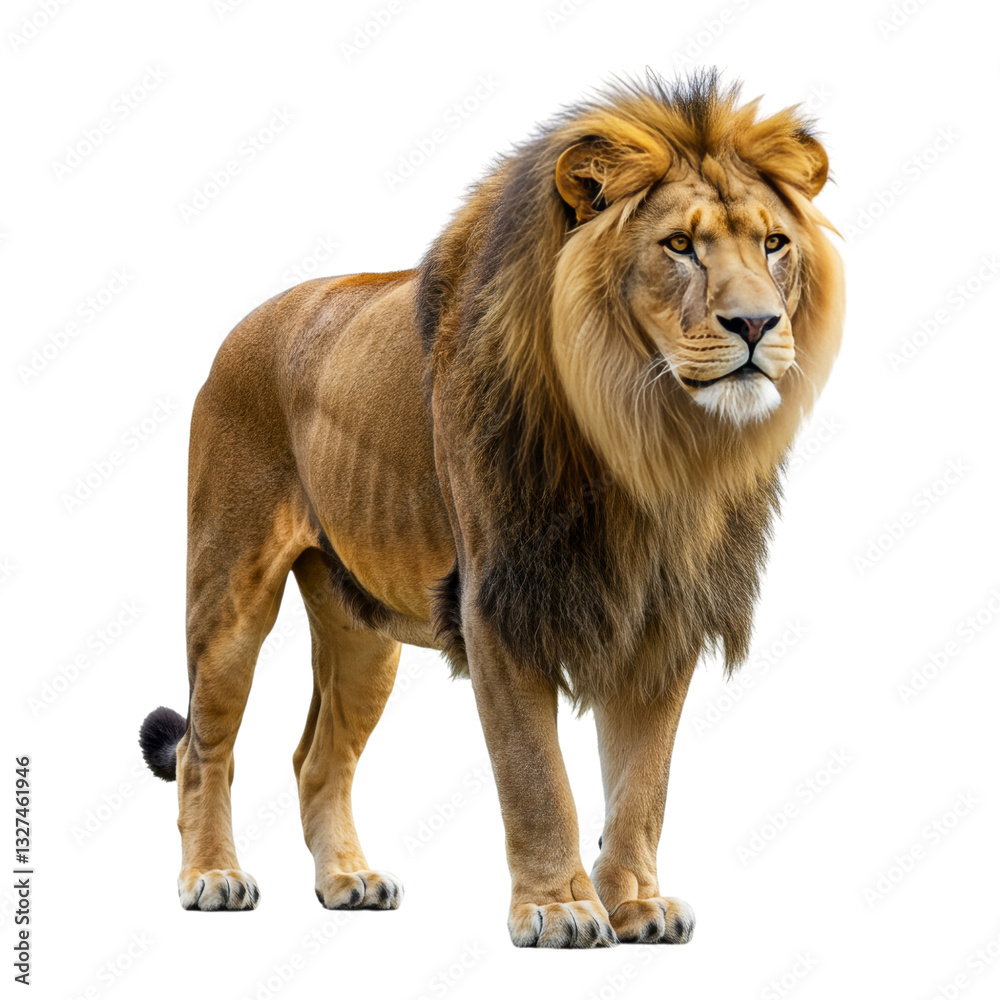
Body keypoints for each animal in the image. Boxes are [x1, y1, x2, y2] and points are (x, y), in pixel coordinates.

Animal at [139, 70, 844, 948]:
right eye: (680, 246)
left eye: (774, 243)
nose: (757, 324)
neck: (646, 438)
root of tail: (242, 327)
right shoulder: (498, 603)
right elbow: (536, 776)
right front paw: (559, 908)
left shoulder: (661, 610)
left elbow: (643, 784)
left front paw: (635, 902)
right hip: (229, 592)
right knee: (205, 747)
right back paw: (212, 876)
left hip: (363, 630)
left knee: (317, 757)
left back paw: (347, 880)